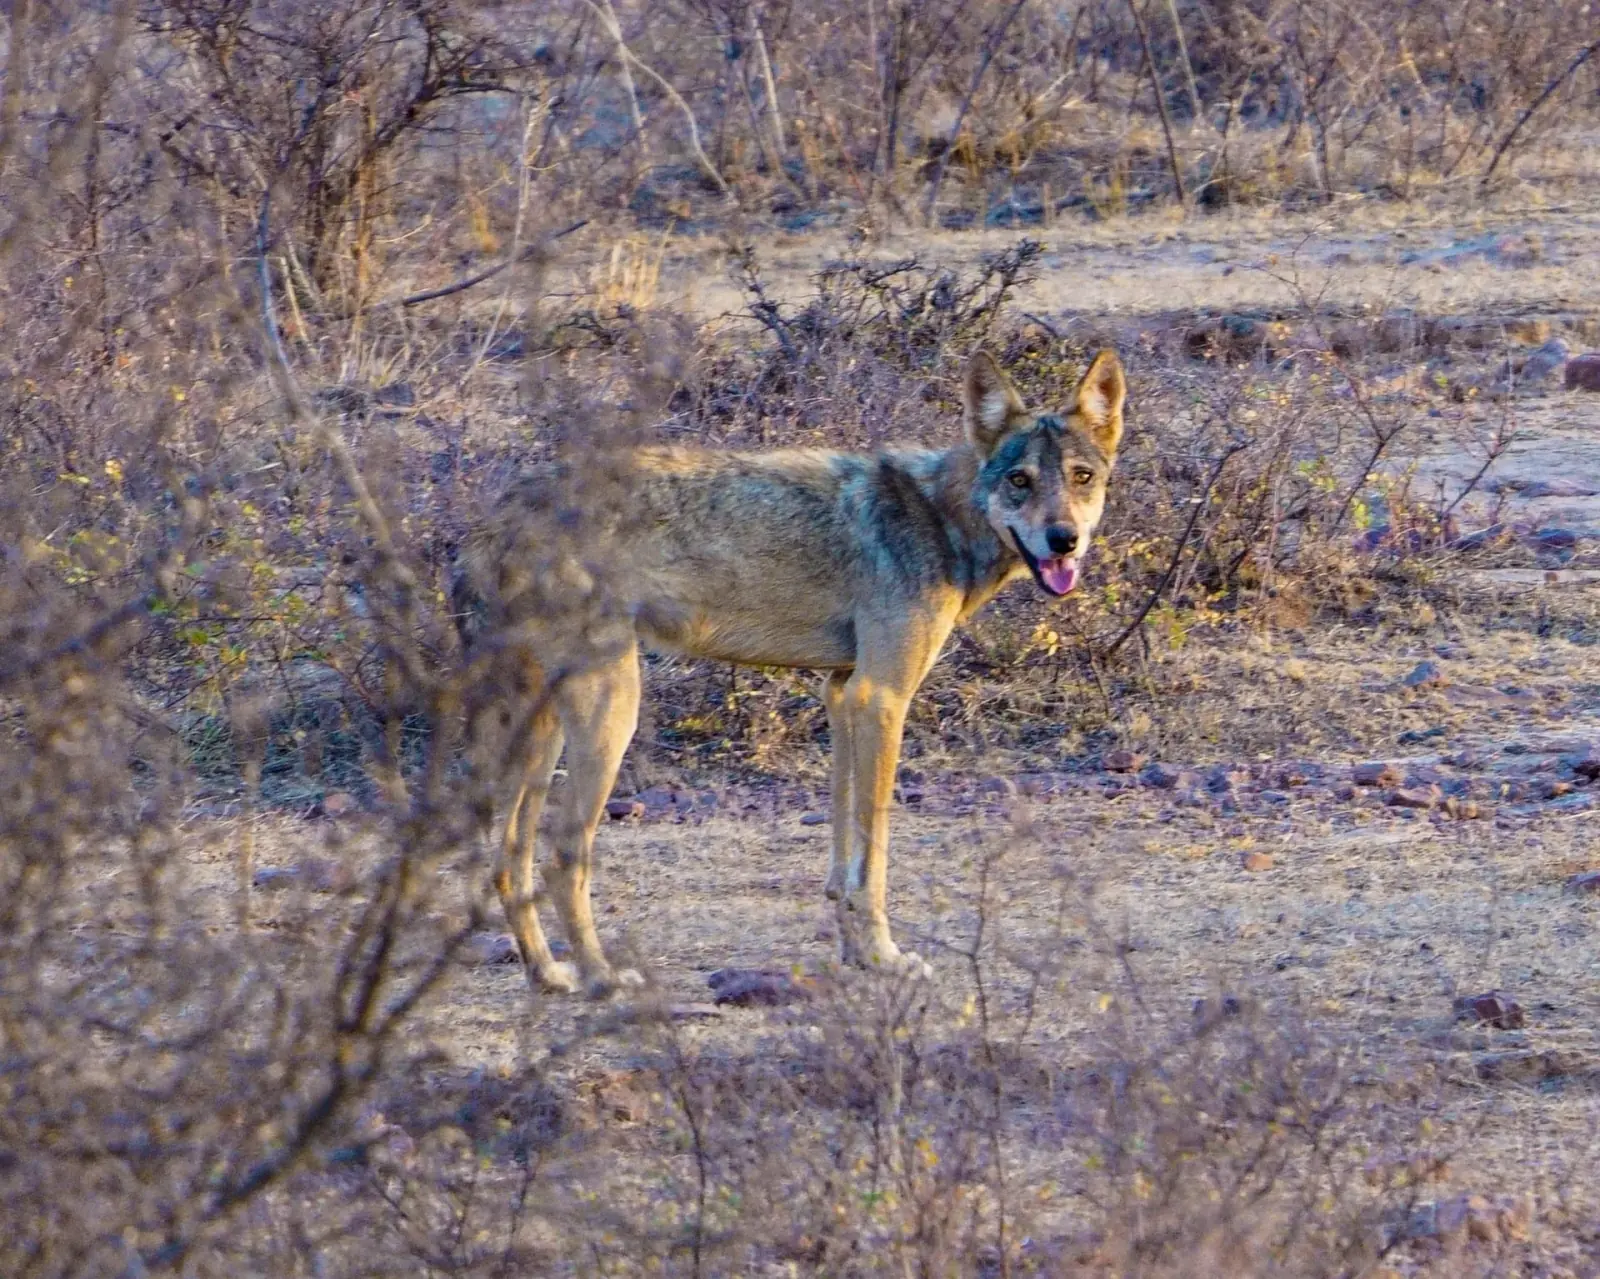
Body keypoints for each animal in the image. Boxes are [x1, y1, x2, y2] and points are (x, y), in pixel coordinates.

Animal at [455, 347, 1126, 996]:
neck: (941, 521)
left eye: (1081, 478)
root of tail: (498, 511)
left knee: (508, 858)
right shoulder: (883, 697)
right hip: (612, 712)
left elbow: (843, 857)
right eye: (1019, 480)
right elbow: (874, 852)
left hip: (545, 733)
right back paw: (600, 978)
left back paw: (549, 975)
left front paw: (858, 955)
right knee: (562, 853)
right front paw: (886, 957)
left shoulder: (843, 692)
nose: (1063, 540)